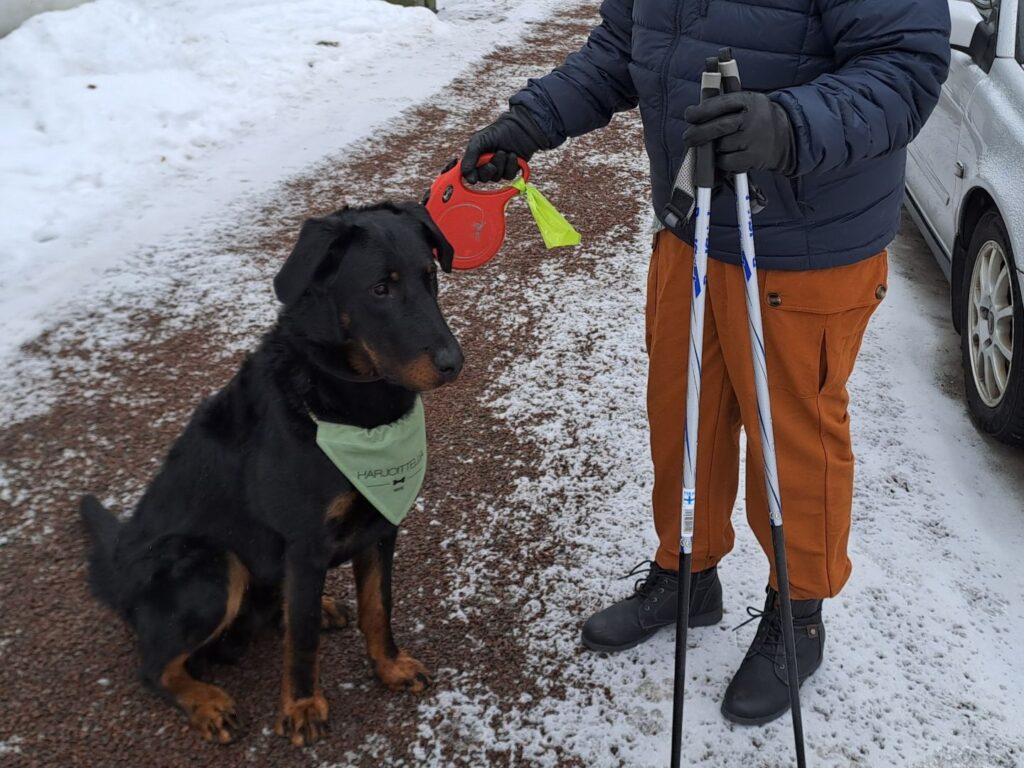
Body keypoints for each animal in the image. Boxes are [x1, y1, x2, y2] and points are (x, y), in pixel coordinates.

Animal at [79, 202, 464, 745]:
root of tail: (119, 581)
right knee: (153, 668)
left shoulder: (380, 526)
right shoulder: (304, 544)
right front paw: (301, 707)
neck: (346, 400)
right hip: (211, 564)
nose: (455, 363)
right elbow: (301, 643)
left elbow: (378, 608)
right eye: (380, 289)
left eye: (429, 277)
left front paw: (389, 667)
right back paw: (207, 703)